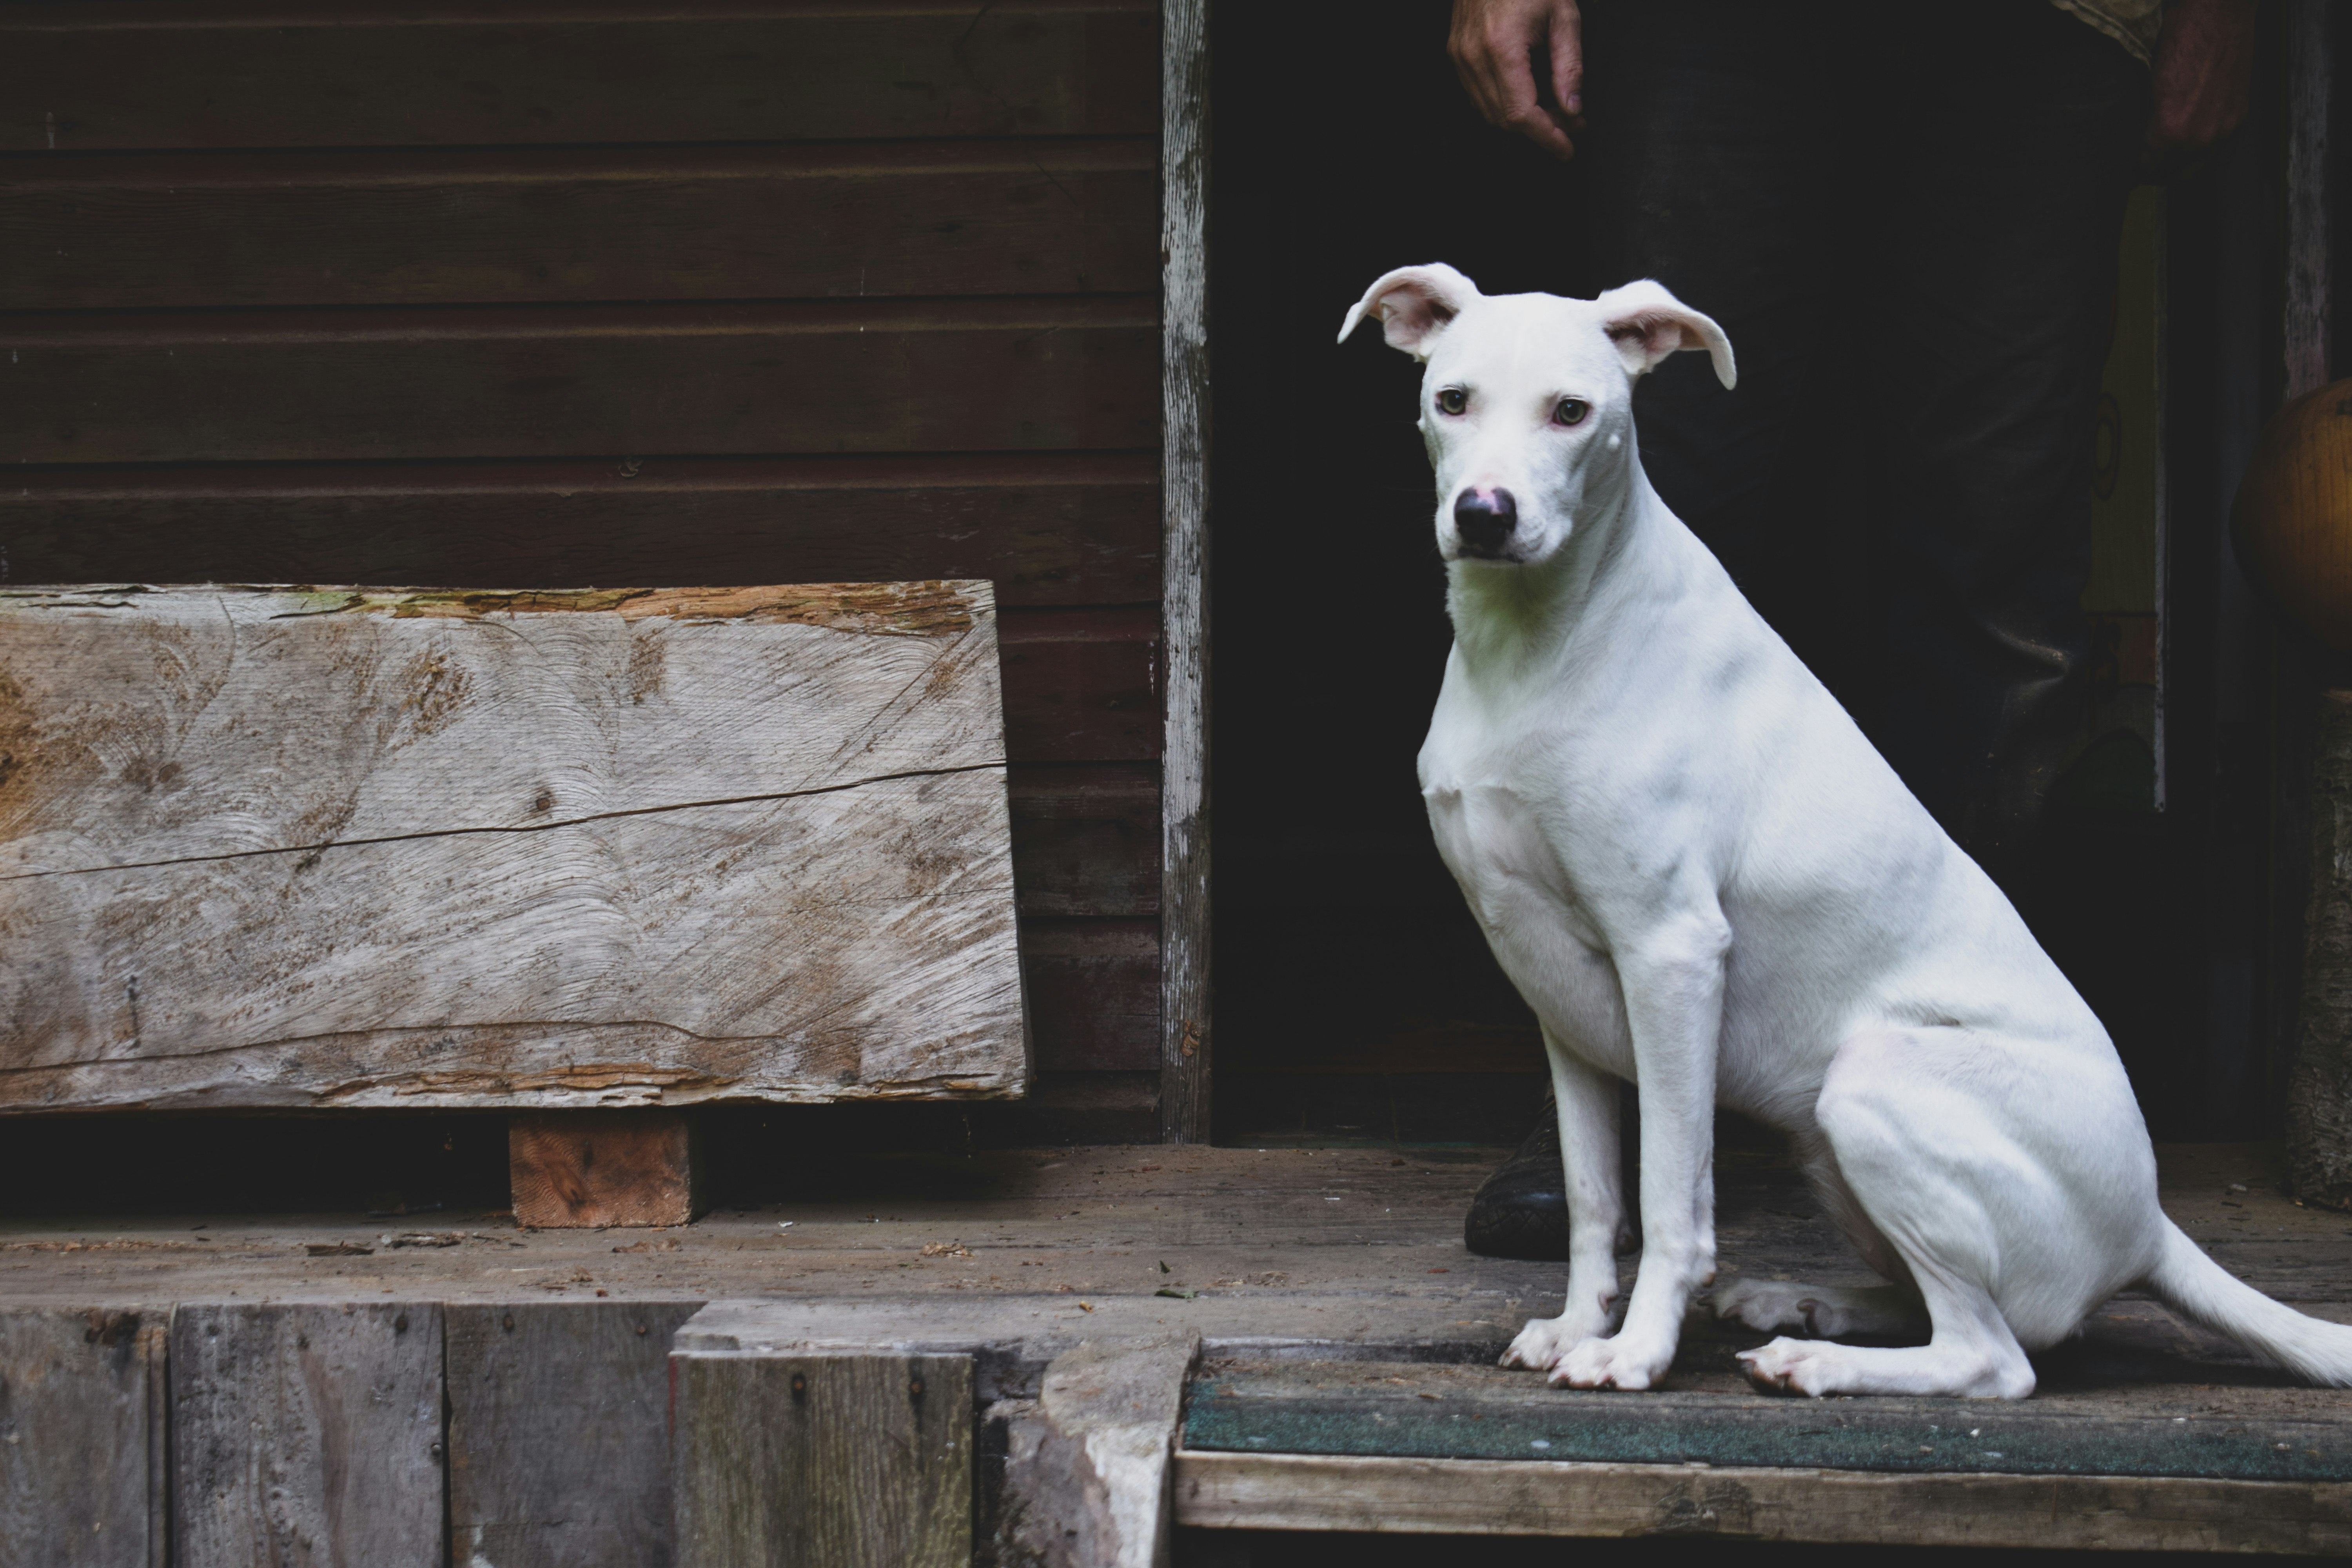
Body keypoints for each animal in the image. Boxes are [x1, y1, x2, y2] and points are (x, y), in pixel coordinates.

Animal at [1345, 263, 2352, 1401]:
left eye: (1571, 412)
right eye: (1452, 400)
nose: (1484, 514)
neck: (1535, 639)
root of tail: (2150, 1226)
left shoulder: (1671, 955)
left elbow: (1672, 1197)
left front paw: (1638, 1352)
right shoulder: (1557, 997)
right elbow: (1599, 1197)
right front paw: (1577, 1326)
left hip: (1871, 1082)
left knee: (1992, 1356)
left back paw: (1815, 1357)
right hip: (1827, 1140)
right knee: (1942, 1309)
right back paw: (1805, 1302)